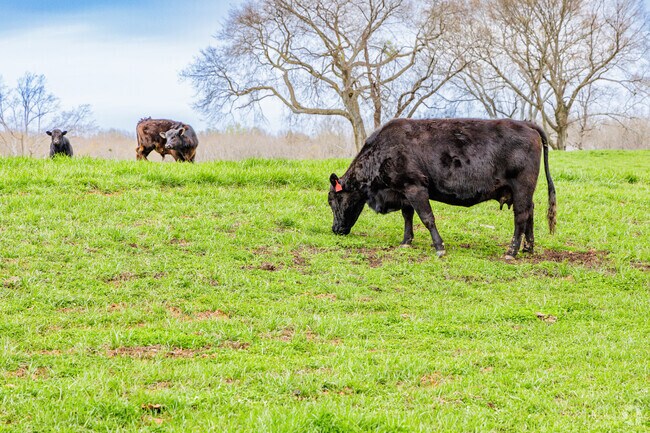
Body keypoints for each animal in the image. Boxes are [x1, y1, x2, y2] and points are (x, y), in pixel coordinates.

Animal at [328, 118, 557, 259]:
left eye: (333, 201)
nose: (335, 229)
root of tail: (526, 123)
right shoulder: (404, 192)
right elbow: (408, 216)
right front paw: (406, 241)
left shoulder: (415, 187)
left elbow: (427, 218)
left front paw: (439, 247)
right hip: (524, 191)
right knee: (530, 212)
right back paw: (528, 247)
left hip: (522, 186)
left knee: (521, 216)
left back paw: (512, 251)